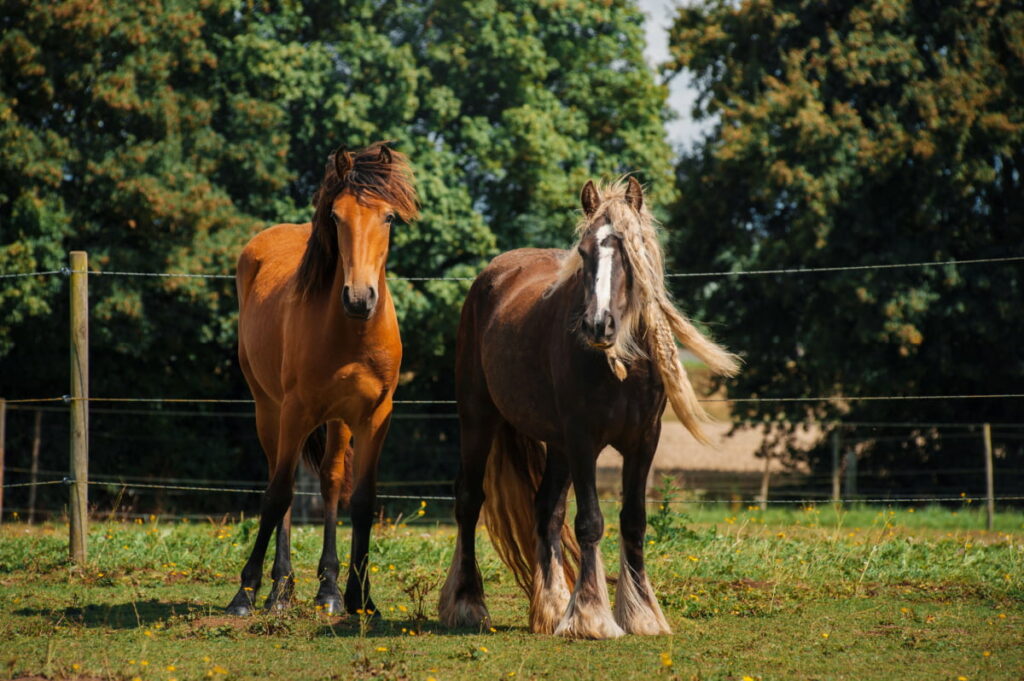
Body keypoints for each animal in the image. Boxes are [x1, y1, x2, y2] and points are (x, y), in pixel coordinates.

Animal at [226, 140, 417, 614]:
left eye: (388, 217)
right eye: (335, 216)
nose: (359, 298)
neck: (351, 333)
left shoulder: (373, 416)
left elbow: (362, 501)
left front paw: (359, 597)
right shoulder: (295, 410)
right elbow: (277, 495)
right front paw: (245, 592)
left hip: (336, 420)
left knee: (329, 482)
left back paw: (326, 588)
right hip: (269, 408)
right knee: (283, 482)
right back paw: (279, 588)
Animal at [438, 175, 737, 639]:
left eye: (631, 253)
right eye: (583, 252)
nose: (599, 325)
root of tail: (491, 275)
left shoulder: (643, 441)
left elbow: (633, 520)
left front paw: (640, 614)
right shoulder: (583, 440)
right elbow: (591, 521)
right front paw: (591, 616)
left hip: (556, 445)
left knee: (546, 509)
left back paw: (549, 607)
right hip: (478, 418)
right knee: (470, 500)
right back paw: (467, 604)